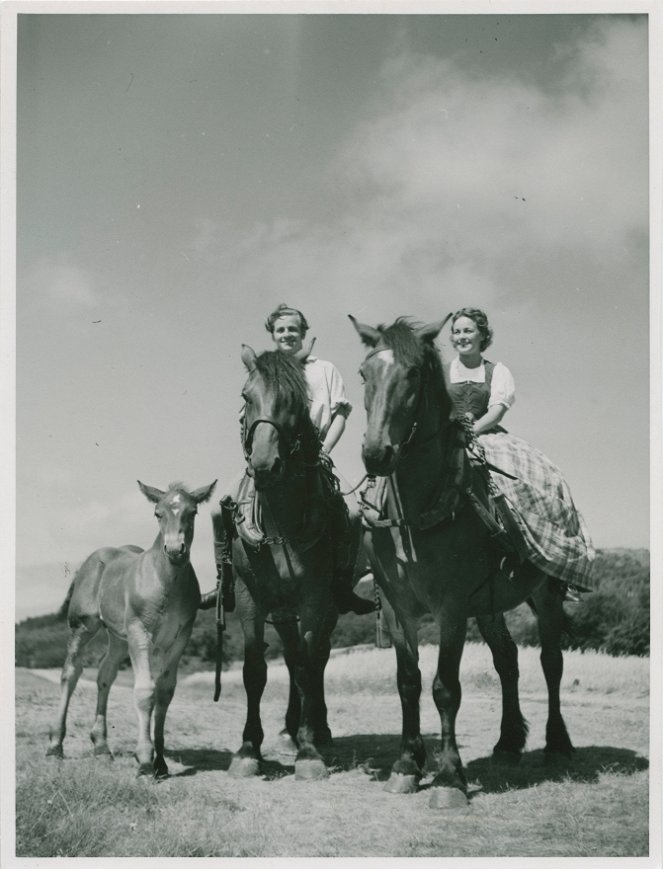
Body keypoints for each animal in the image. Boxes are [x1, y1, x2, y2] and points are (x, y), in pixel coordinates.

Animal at [47, 478, 218, 776]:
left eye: (193, 512)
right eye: (157, 513)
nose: (175, 550)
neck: (166, 583)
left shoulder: (180, 638)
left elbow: (165, 692)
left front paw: (161, 762)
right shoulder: (141, 632)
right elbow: (144, 692)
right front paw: (145, 761)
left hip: (118, 636)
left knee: (105, 673)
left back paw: (101, 747)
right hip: (83, 625)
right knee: (71, 672)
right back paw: (56, 746)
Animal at [227, 346, 364, 780]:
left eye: (295, 400)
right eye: (246, 396)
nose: (265, 465)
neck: (280, 528)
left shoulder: (315, 599)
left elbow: (307, 667)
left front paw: (309, 752)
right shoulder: (250, 598)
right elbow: (256, 670)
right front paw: (248, 749)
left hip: (328, 607)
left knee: (316, 659)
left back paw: (317, 730)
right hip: (283, 612)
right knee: (290, 658)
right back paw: (290, 729)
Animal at [352, 318, 576, 808]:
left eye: (414, 373)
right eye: (363, 373)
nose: (376, 453)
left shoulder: (451, 607)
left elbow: (445, 687)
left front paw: (449, 778)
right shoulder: (397, 607)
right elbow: (408, 681)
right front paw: (406, 765)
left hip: (546, 594)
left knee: (551, 661)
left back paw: (557, 742)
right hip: (490, 604)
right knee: (508, 661)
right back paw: (508, 742)